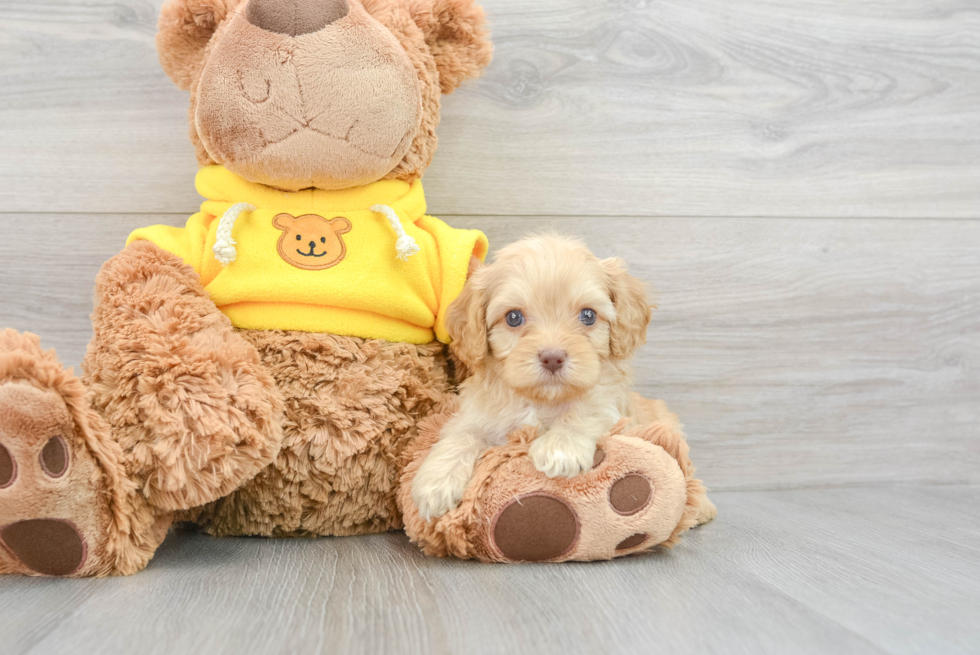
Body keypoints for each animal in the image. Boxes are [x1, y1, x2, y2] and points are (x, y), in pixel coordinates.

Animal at [412, 236, 652, 524]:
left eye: (588, 315)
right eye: (514, 317)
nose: (553, 358)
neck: (540, 401)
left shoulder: (611, 407)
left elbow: (586, 411)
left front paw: (560, 447)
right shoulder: (476, 415)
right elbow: (461, 435)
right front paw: (435, 482)